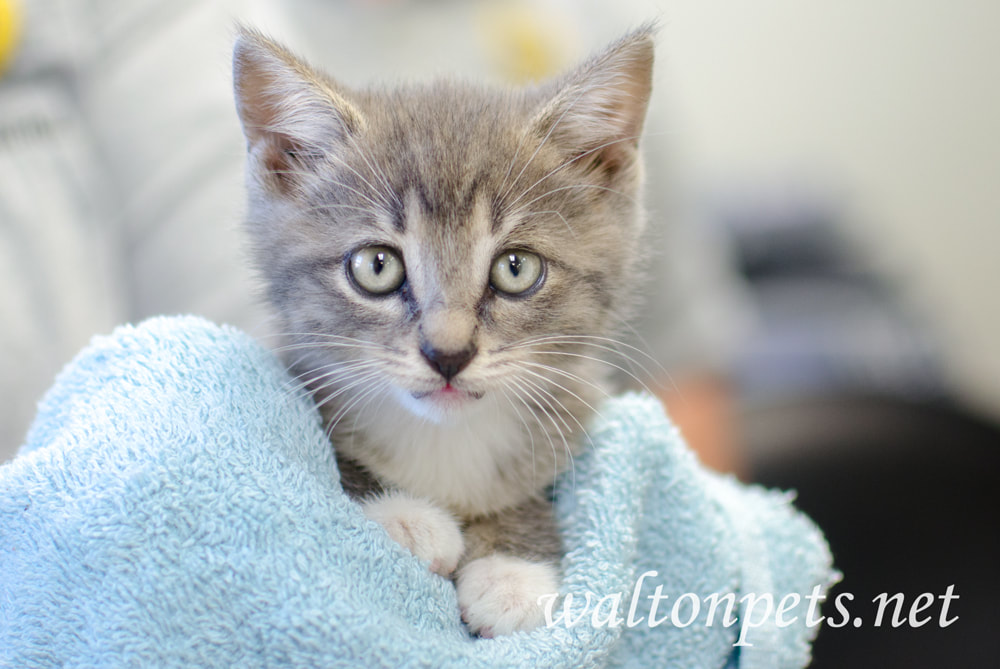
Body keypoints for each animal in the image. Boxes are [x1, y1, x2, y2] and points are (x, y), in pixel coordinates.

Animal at [234, 24, 656, 632]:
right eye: (377, 266)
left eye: (516, 268)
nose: (448, 353)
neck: (444, 439)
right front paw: (405, 518)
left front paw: (511, 572)